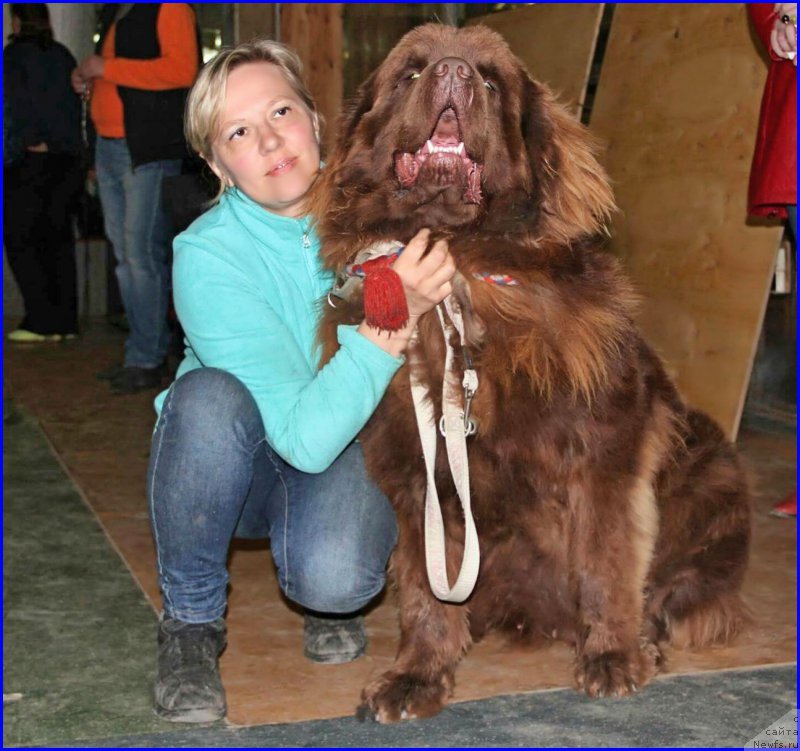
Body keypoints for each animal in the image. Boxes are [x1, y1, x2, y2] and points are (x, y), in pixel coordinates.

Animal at [314, 23, 752, 724]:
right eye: (410, 73)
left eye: (493, 82)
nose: (454, 73)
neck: (458, 263)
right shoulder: (419, 471)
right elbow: (428, 589)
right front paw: (416, 675)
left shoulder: (605, 453)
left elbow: (606, 557)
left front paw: (613, 656)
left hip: (712, 462)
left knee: (680, 587)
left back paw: (649, 635)